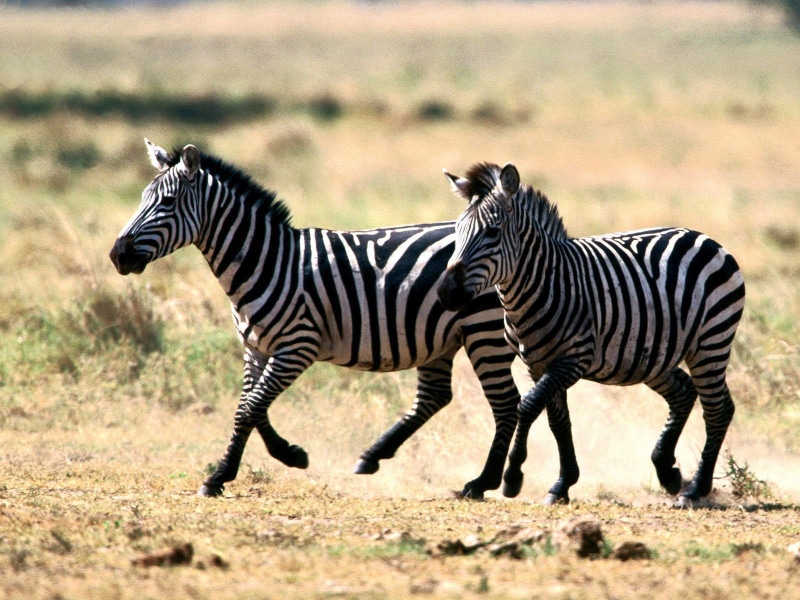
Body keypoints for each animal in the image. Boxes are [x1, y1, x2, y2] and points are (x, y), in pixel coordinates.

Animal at [109, 140, 523, 499]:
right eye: (142, 199)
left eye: (167, 201)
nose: (117, 255)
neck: (267, 262)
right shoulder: (256, 348)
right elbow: (251, 406)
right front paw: (289, 454)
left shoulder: (297, 347)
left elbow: (250, 407)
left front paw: (219, 476)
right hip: (438, 337)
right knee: (434, 397)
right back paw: (372, 456)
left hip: (483, 332)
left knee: (506, 403)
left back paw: (483, 482)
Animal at [437, 162, 745, 507]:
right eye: (456, 230)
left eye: (492, 232)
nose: (446, 293)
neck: (543, 284)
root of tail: (702, 236)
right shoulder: (538, 365)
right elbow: (558, 421)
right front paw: (562, 484)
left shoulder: (573, 360)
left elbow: (527, 406)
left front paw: (513, 477)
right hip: (652, 356)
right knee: (684, 393)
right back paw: (668, 471)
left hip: (711, 342)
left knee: (718, 409)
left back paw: (695, 490)